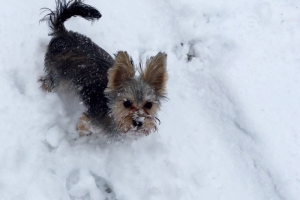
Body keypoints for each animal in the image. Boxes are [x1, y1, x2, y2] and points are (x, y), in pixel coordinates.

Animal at [39, 0, 168, 141]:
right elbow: (82, 127)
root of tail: (63, 34)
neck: (111, 111)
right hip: (58, 77)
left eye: (149, 105)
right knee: (48, 83)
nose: (139, 122)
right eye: (127, 103)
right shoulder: (90, 120)